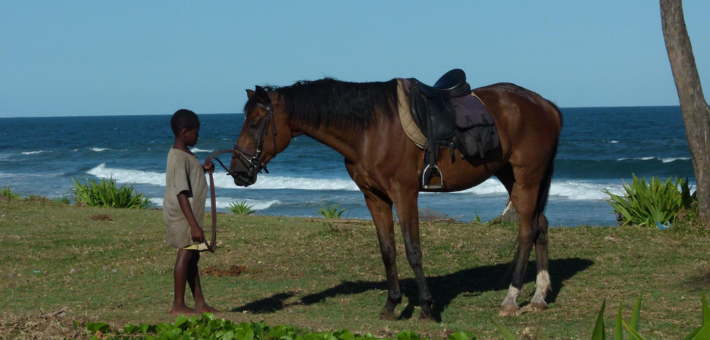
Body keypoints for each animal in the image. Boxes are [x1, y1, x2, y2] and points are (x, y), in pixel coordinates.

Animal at [231, 76, 564, 318]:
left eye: (256, 122)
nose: (237, 171)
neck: (371, 129)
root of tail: (546, 105)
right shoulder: (375, 197)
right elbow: (387, 250)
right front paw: (392, 305)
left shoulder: (405, 194)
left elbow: (412, 250)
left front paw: (427, 307)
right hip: (512, 177)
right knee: (541, 226)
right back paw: (539, 296)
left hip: (527, 176)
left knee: (527, 231)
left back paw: (511, 299)